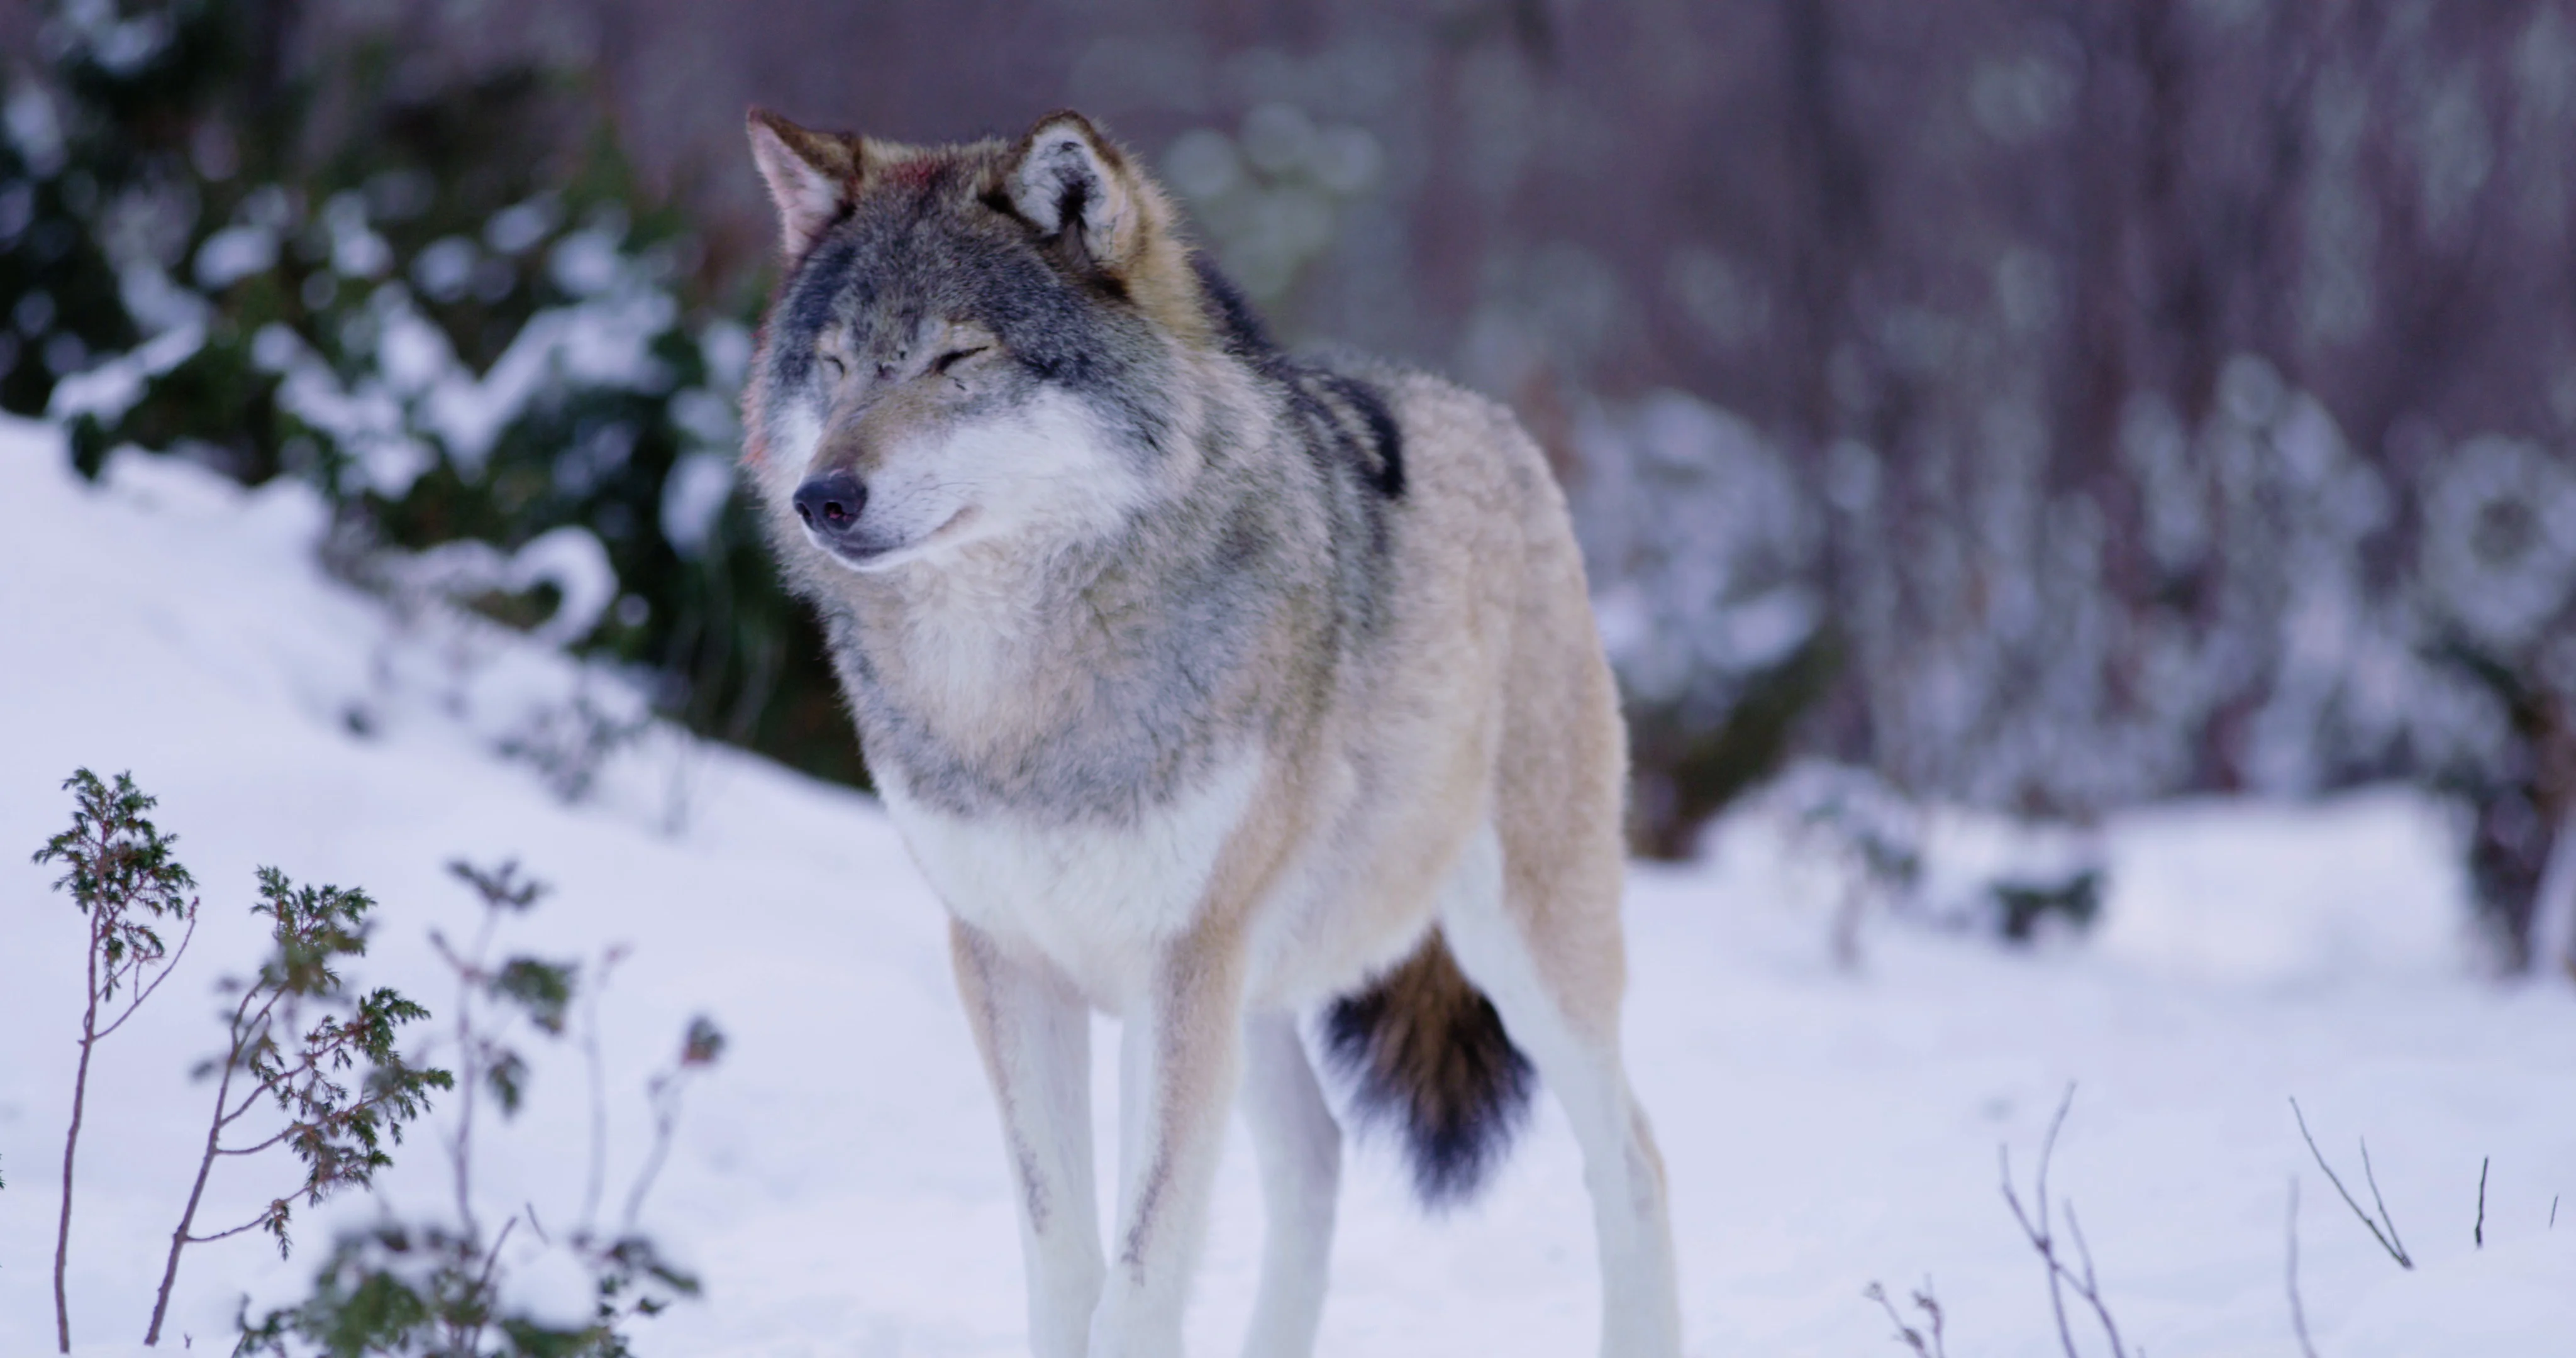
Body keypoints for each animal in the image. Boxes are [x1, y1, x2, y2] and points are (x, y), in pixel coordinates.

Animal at [736, 109, 1679, 1358]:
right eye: (835, 367)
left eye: (957, 359)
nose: (822, 498)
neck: (1021, 696)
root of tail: (1492, 420)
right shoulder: (1007, 961)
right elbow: (1064, 1261)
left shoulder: (1176, 969)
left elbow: (1140, 1279)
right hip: (1266, 989)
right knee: (1318, 1158)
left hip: (1517, 954)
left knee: (1633, 1162)